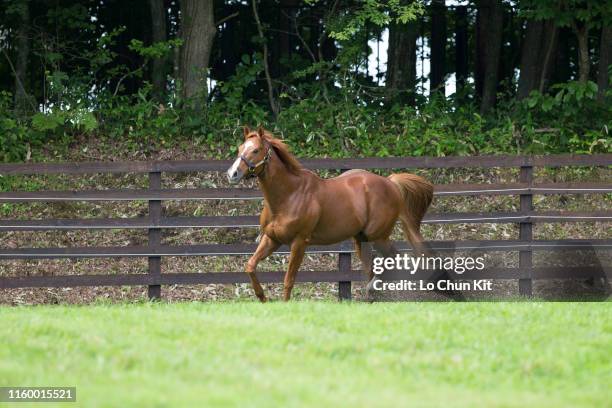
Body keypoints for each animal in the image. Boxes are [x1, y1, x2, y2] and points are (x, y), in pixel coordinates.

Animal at [227, 127, 432, 302]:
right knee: (372, 268)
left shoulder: (299, 242)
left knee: (395, 258)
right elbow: (250, 265)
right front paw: (262, 297)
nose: (232, 174)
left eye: (256, 150)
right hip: (361, 239)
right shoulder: (272, 239)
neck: (289, 195)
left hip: (378, 236)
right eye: (240, 148)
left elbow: (288, 280)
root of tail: (391, 183)